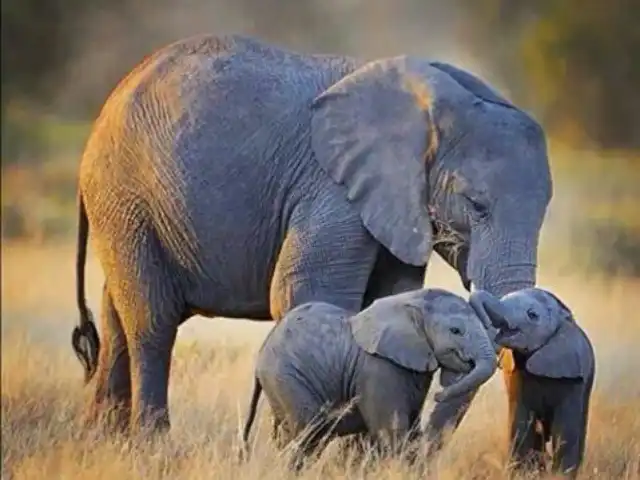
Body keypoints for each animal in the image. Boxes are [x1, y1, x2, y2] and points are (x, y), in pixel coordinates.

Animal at [72, 33, 552, 438]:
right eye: (476, 205)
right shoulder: (332, 190)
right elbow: (306, 292)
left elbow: (389, 297)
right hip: (125, 197)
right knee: (151, 322)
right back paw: (152, 445)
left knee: (116, 318)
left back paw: (104, 443)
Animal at [242, 286, 498, 466]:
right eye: (456, 331)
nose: (438, 395)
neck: (412, 302)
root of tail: (259, 357)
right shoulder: (378, 368)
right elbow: (391, 430)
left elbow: (411, 427)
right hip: (287, 378)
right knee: (308, 434)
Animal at [470, 286, 596, 478]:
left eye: (532, 315)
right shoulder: (516, 377)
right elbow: (521, 425)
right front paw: (522, 475)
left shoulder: (573, 379)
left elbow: (565, 431)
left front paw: (560, 476)